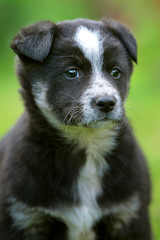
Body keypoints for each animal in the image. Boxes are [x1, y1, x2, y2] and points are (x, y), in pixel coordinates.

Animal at [0, 18, 152, 240]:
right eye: (72, 72)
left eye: (115, 72)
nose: (106, 103)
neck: (87, 148)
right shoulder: (23, 217)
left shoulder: (130, 215)